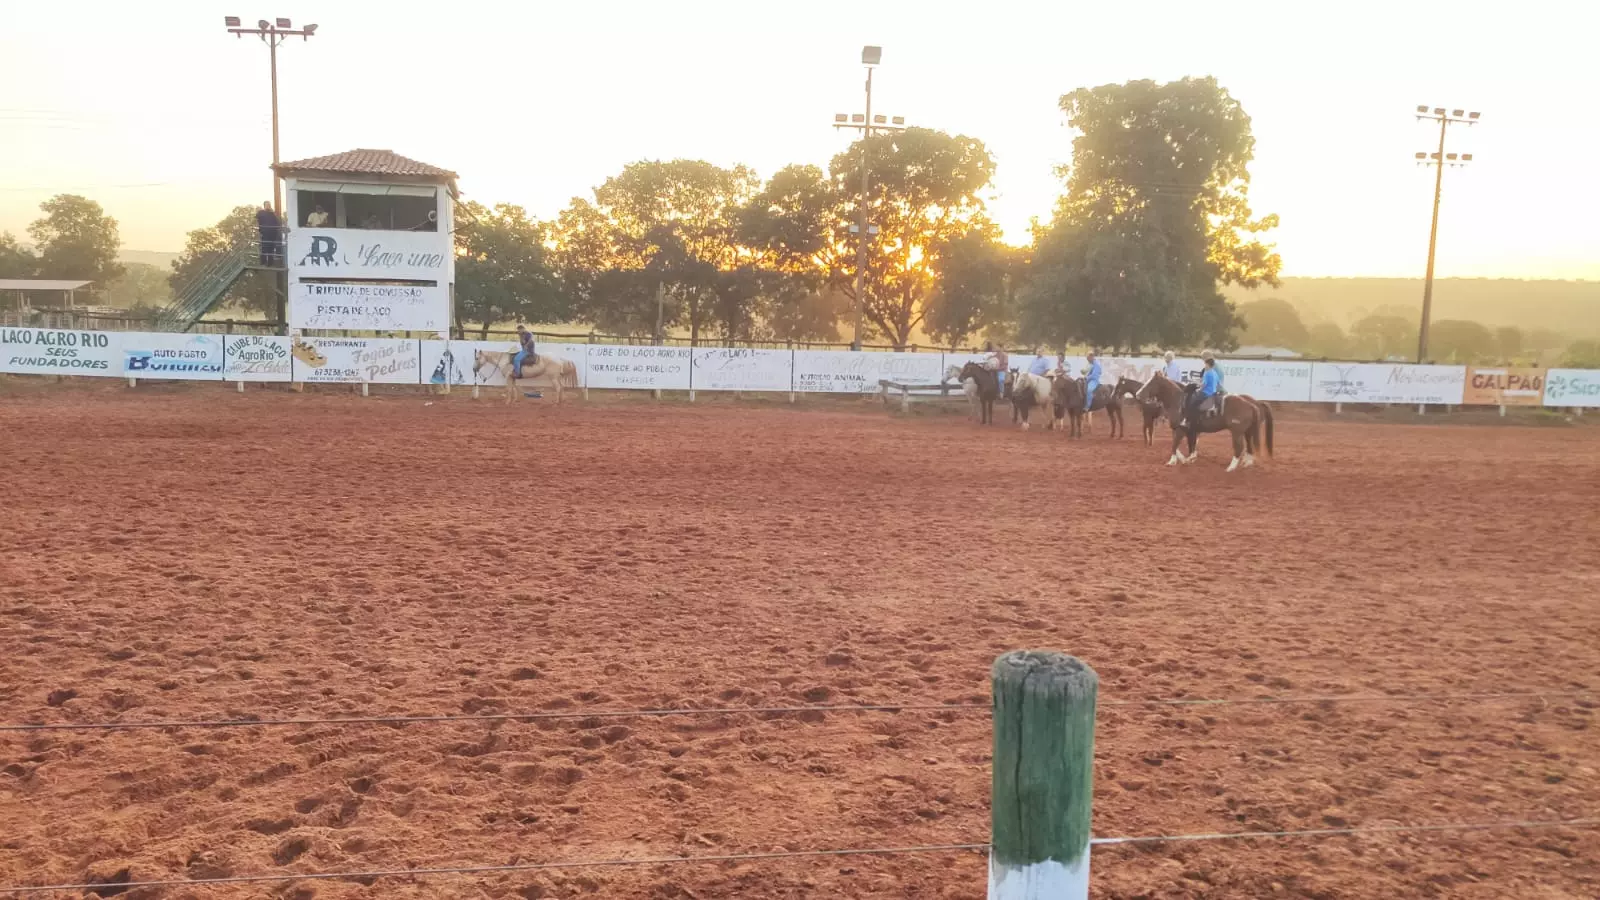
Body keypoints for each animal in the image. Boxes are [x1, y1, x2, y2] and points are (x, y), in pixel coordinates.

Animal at [1139, 369, 1273, 474]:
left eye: (1151, 383)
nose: (1138, 394)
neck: (1178, 401)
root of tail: (1251, 405)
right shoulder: (1190, 430)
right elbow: (1189, 445)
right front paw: (1188, 459)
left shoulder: (1181, 429)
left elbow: (1175, 444)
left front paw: (1172, 461)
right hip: (1247, 431)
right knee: (1249, 445)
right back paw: (1247, 463)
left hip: (1237, 432)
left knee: (1239, 447)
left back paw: (1231, 467)